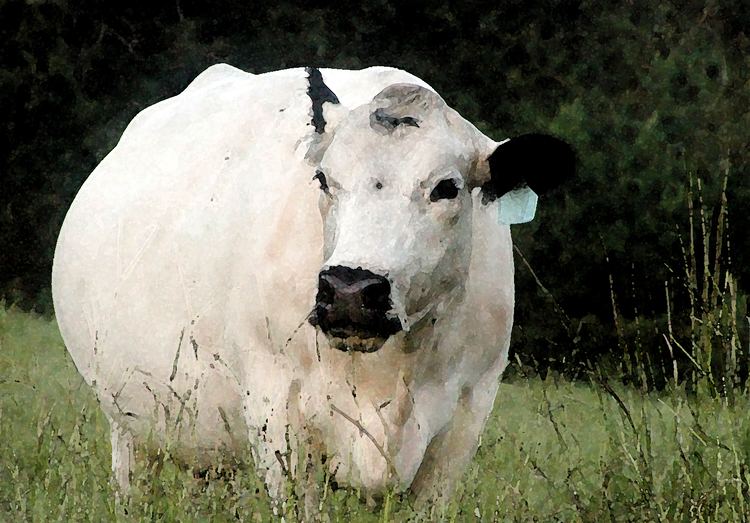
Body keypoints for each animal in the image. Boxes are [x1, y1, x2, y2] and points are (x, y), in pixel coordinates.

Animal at [53, 64, 576, 508]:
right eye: (324, 179)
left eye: (446, 188)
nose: (349, 290)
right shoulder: (276, 414)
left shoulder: (464, 423)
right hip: (124, 421)